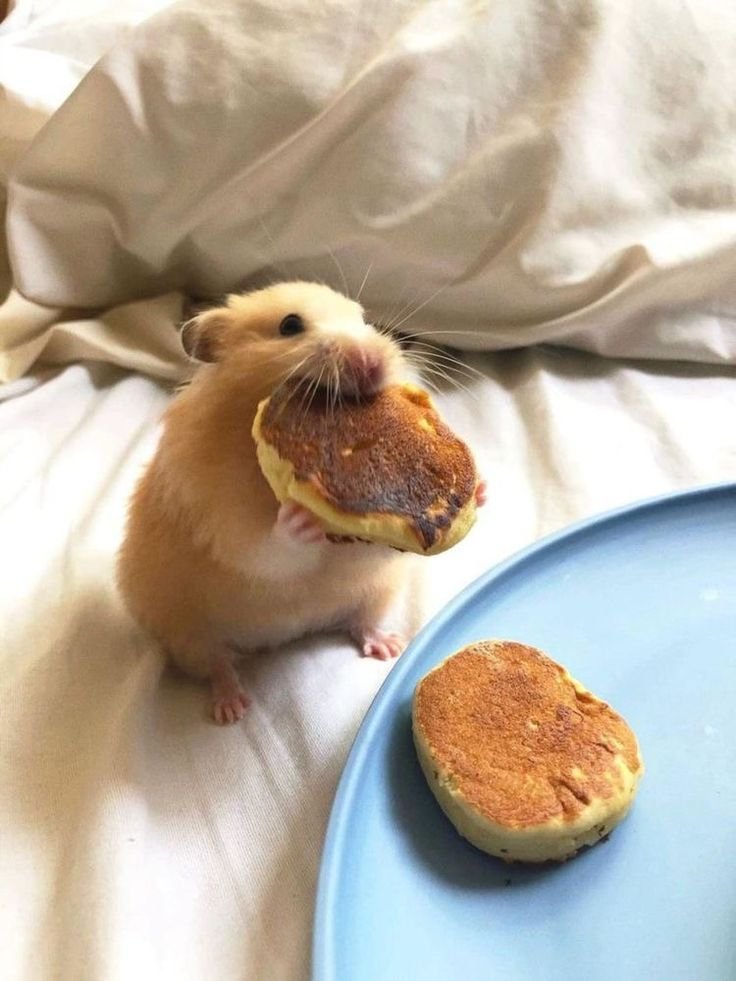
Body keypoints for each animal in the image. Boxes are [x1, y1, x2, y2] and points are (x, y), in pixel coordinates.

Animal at [117, 281, 421, 724]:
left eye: (363, 319)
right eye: (290, 325)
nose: (372, 363)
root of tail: (283, 636)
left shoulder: (363, 552)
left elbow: (376, 546)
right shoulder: (225, 524)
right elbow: (270, 549)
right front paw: (298, 519)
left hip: (380, 592)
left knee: (360, 623)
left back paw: (388, 647)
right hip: (185, 631)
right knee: (217, 665)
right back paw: (230, 709)